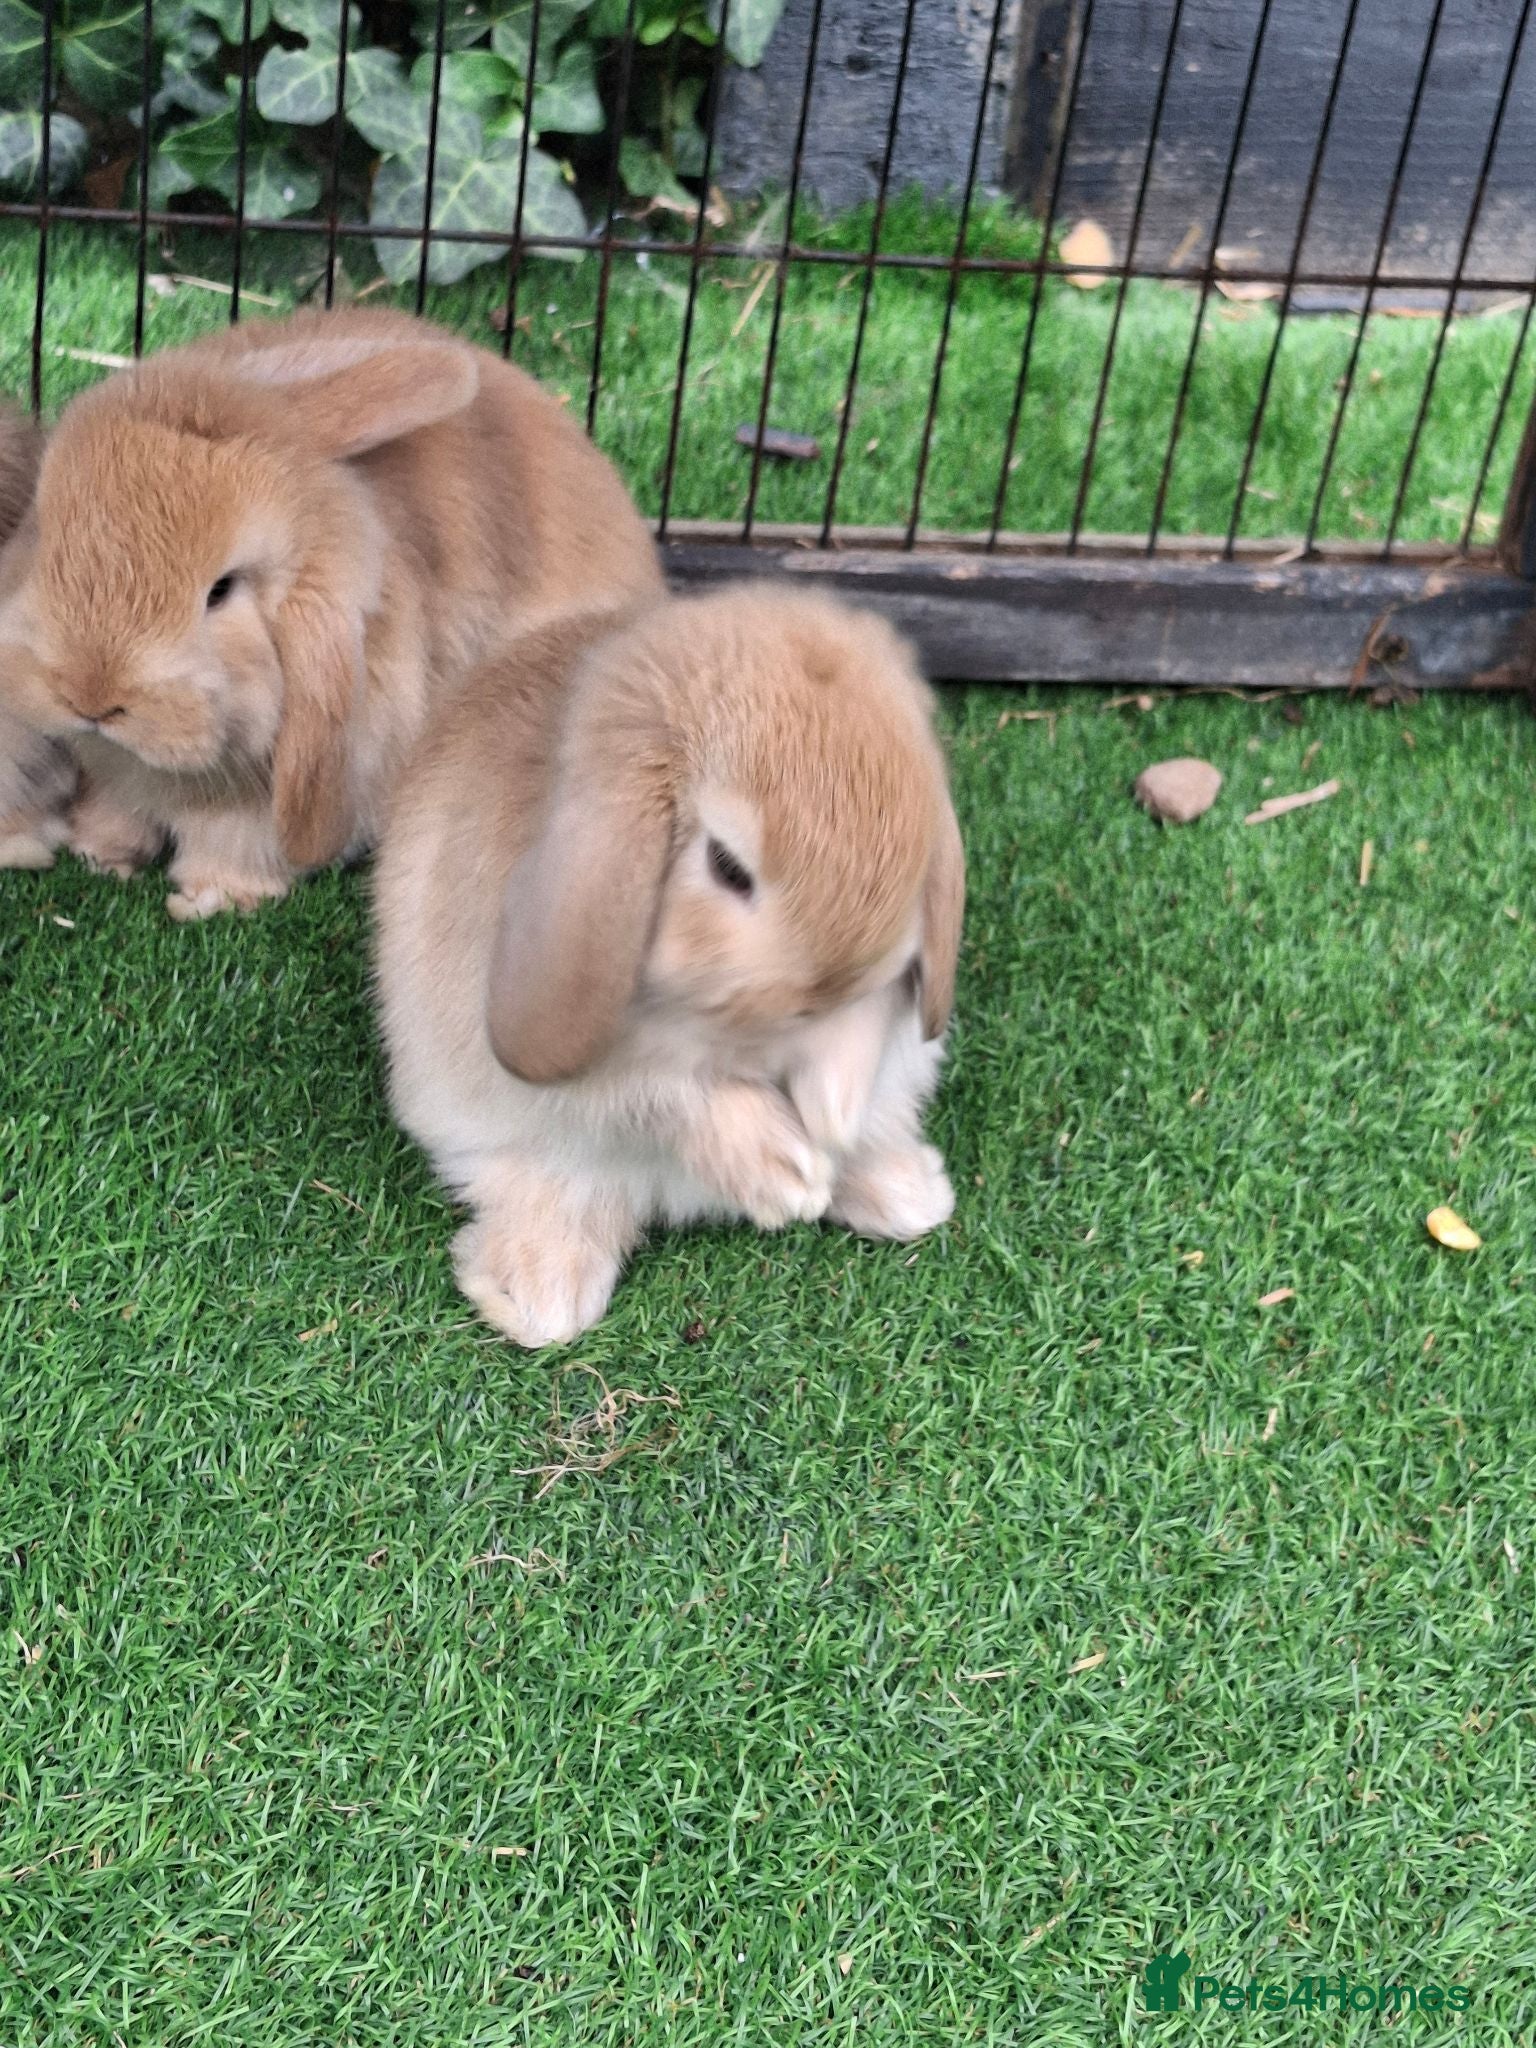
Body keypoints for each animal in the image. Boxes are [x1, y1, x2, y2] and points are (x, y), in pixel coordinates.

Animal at [0, 306, 662, 920]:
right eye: (43, 526)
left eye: (221, 590)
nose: (90, 696)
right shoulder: (113, 775)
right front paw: (100, 857)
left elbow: (236, 844)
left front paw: (211, 899)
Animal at [373, 583, 965, 1348]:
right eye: (727, 866)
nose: (819, 986)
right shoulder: (610, 1078)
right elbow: (671, 1096)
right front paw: (786, 1174)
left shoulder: (881, 993)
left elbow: (857, 1035)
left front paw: (831, 1117)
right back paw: (539, 1295)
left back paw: (904, 1190)